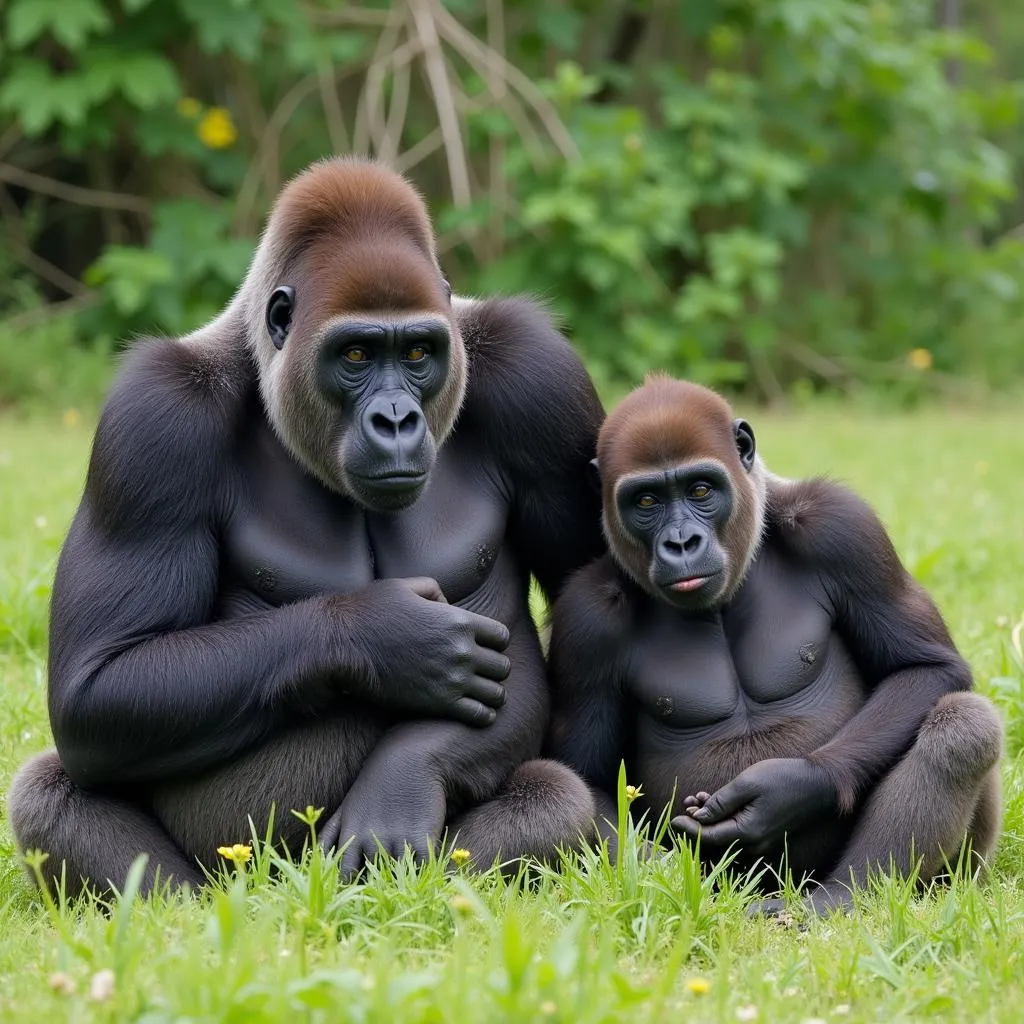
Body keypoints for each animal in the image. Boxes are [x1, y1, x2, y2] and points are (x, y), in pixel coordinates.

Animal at [8, 153, 602, 897]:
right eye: (355, 357)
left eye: (417, 354)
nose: (397, 421)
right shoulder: (155, 416)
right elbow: (99, 685)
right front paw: (386, 635)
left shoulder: (538, 374)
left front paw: (401, 781)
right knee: (47, 792)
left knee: (557, 796)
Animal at [548, 374, 1003, 913]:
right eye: (646, 502)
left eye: (701, 489)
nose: (681, 544)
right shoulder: (586, 617)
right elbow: (588, 778)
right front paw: (682, 885)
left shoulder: (841, 527)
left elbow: (925, 668)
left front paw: (790, 789)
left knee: (964, 725)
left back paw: (844, 894)